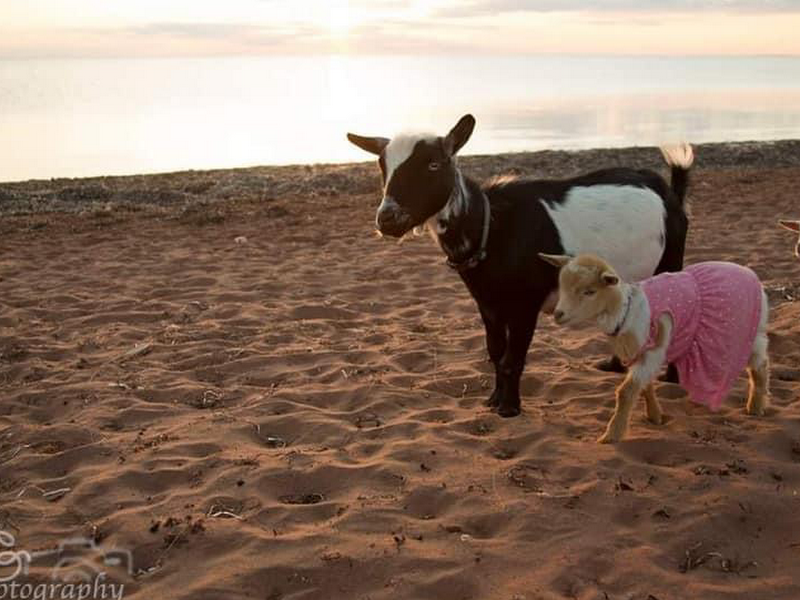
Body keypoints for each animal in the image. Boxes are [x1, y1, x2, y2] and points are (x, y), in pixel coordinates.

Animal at [347, 114, 693, 417]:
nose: (388, 219)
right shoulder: (488, 303)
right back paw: (615, 366)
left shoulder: (525, 304)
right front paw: (493, 400)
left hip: (670, 261)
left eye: (433, 164)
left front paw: (509, 409)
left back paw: (674, 379)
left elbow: (513, 358)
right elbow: (496, 352)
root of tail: (667, 191)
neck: (492, 227)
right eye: (382, 166)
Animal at [539, 253, 769, 442]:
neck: (626, 311)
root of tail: (750, 274)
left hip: (751, 333)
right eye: (562, 286)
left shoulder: (653, 351)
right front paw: (655, 416)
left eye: (590, 291)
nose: (558, 314)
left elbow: (625, 392)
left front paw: (611, 435)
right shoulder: (638, 353)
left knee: (760, 364)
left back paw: (755, 407)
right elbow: (644, 386)